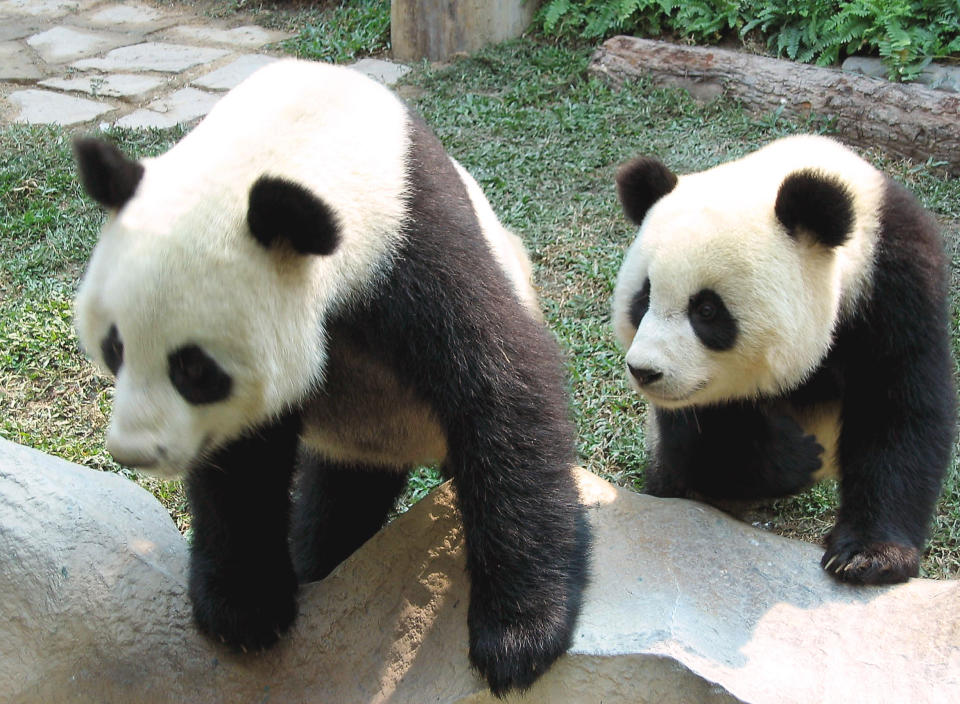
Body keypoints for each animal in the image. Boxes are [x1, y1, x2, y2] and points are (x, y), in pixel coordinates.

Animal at [71, 57, 588, 696]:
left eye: (194, 368)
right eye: (114, 347)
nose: (135, 452)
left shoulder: (414, 242)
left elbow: (503, 386)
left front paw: (518, 639)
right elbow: (242, 462)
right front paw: (243, 611)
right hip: (361, 442)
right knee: (338, 510)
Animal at [612, 135, 956, 584]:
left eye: (707, 310)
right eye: (644, 298)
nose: (645, 371)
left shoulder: (896, 282)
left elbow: (898, 408)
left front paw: (869, 555)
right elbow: (705, 439)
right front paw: (799, 456)